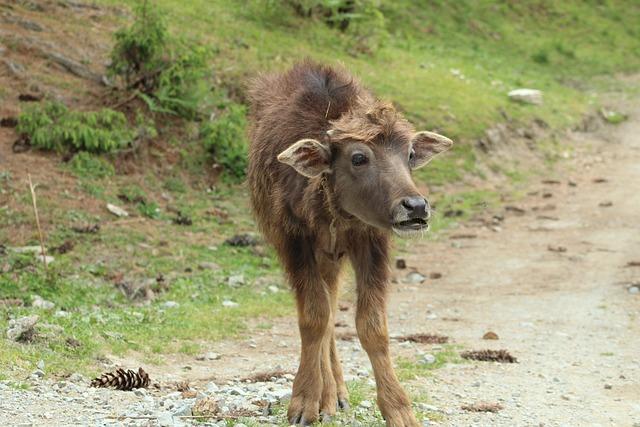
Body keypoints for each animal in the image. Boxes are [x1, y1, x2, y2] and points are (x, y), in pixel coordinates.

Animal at [248, 61, 452, 427]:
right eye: (359, 158)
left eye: (410, 154)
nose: (415, 207)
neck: (334, 211)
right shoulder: (293, 241)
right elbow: (313, 318)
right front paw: (304, 401)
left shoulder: (371, 244)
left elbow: (372, 326)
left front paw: (399, 408)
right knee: (325, 314)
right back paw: (325, 396)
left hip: (333, 258)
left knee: (332, 311)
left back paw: (335, 394)